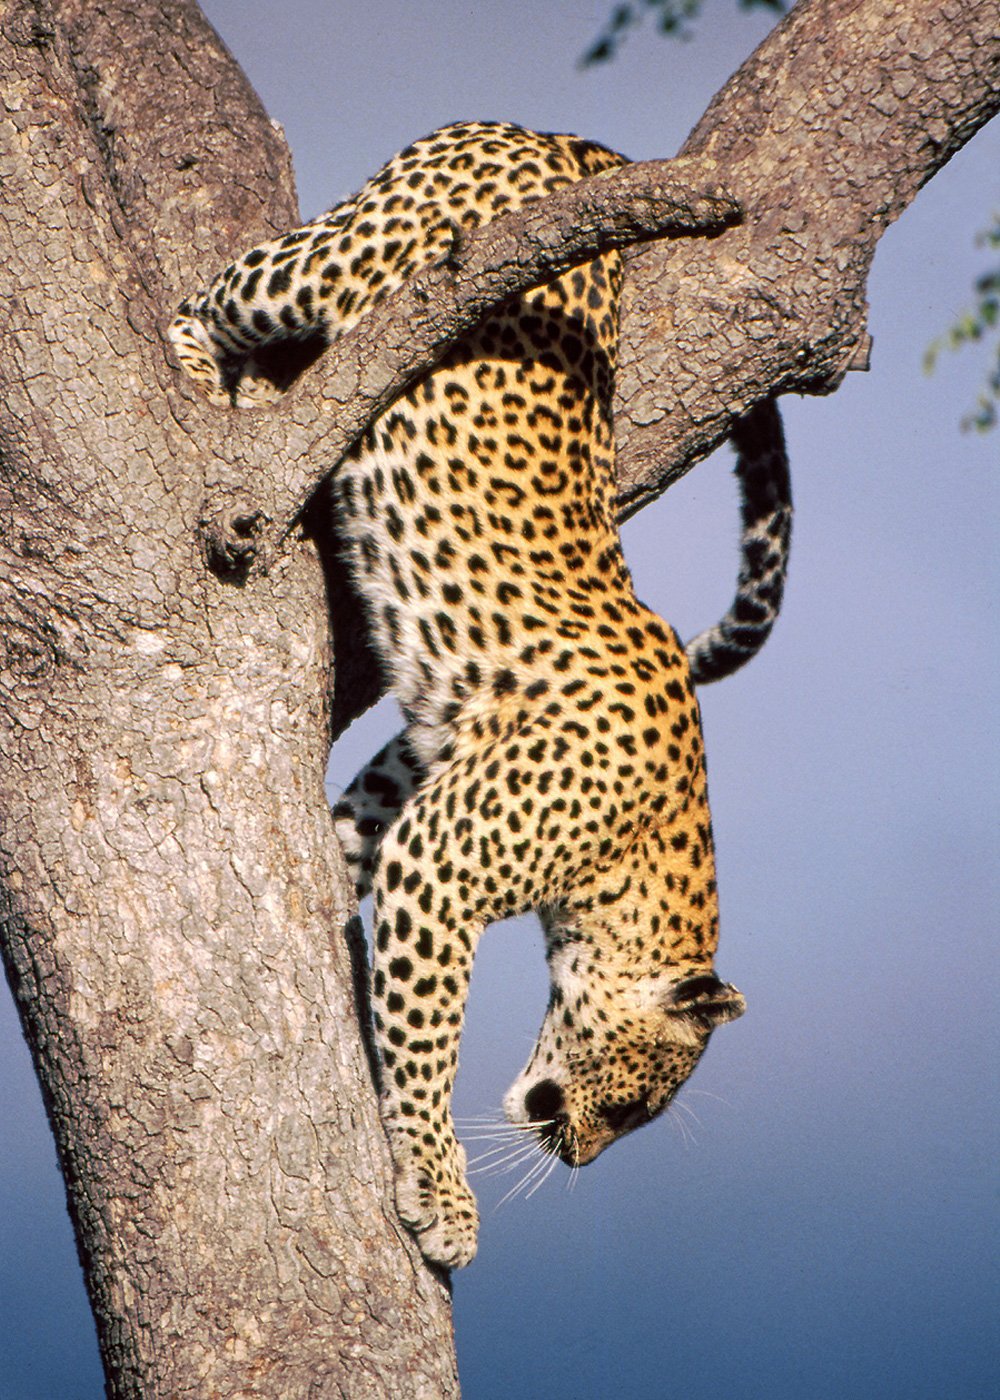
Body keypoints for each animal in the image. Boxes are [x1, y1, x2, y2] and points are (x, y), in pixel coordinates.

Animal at [170, 120, 791, 1269]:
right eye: (633, 1105)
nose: (577, 1152)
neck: (646, 849)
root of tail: (569, 140)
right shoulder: (442, 866)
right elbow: (426, 1040)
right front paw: (440, 1194)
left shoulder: (427, 755)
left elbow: (355, 821)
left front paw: (331, 867)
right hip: (340, 262)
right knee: (218, 292)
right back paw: (204, 375)